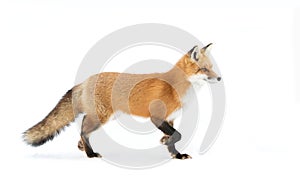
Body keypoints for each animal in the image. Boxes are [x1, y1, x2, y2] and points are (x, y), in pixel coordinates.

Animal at [22, 44, 220, 159]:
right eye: (204, 69)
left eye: (212, 68)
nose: (219, 78)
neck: (176, 87)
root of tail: (85, 81)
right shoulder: (156, 117)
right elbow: (178, 135)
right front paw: (167, 142)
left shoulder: (170, 119)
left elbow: (174, 138)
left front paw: (176, 154)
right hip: (101, 117)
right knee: (83, 129)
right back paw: (90, 153)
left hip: (107, 116)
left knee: (83, 128)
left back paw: (82, 147)